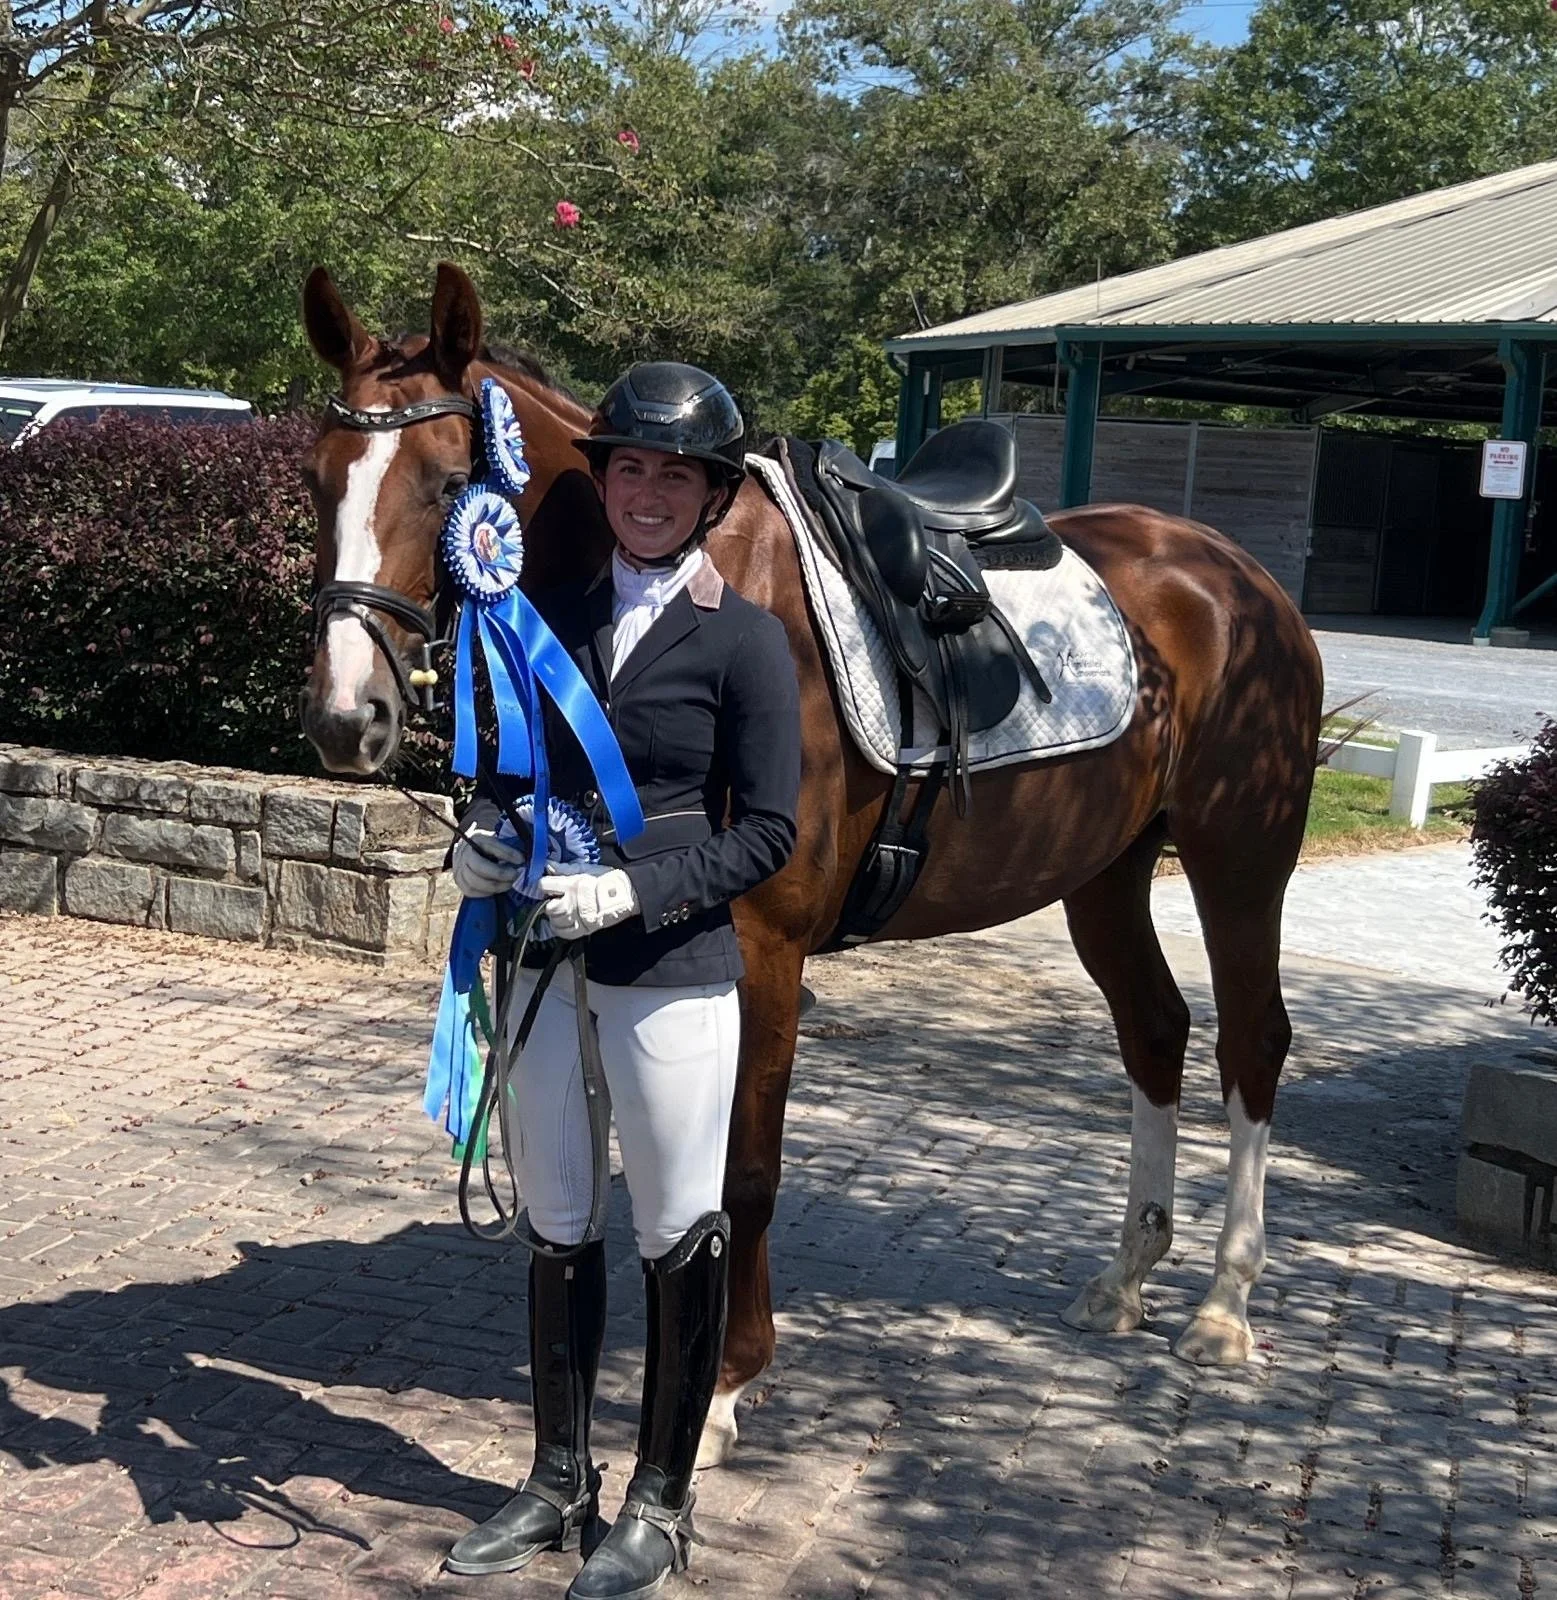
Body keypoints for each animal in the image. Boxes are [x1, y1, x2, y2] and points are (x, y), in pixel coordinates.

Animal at [297, 262, 1324, 1468]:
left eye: (452, 482)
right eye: (316, 478)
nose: (345, 716)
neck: (677, 574)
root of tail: (1237, 576)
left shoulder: (763, 952)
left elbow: (738, 1171)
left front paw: (723, 1389)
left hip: (1239, 855)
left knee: (1252, 1041)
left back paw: (1225, 1305)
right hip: (1106, 873)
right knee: (1156, 1029)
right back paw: (1124, 1280)